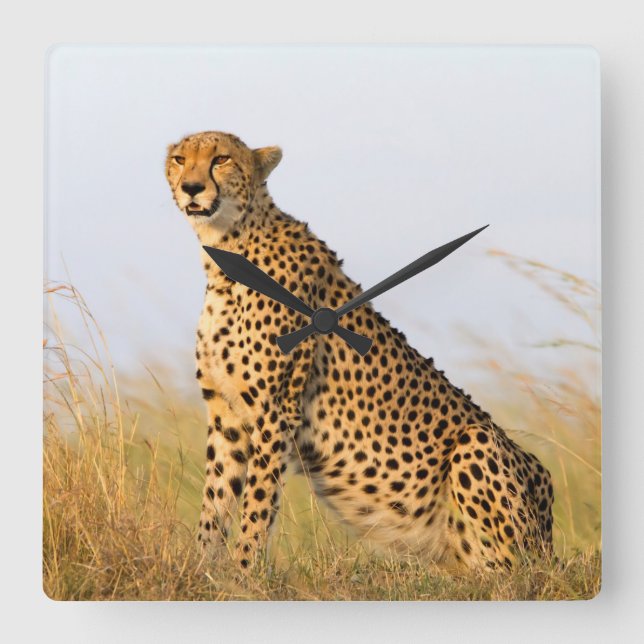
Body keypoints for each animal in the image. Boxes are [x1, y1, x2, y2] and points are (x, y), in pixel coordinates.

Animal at [165, 130, 554, 571]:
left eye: (221, 159)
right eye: (180, 159)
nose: (191, 187)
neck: (226, 251)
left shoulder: (275, 410)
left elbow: (257, 504)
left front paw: (244, 571)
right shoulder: (226, 414)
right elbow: (215, 501)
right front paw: (202, 569)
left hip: (478, 446)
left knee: (508, 570)